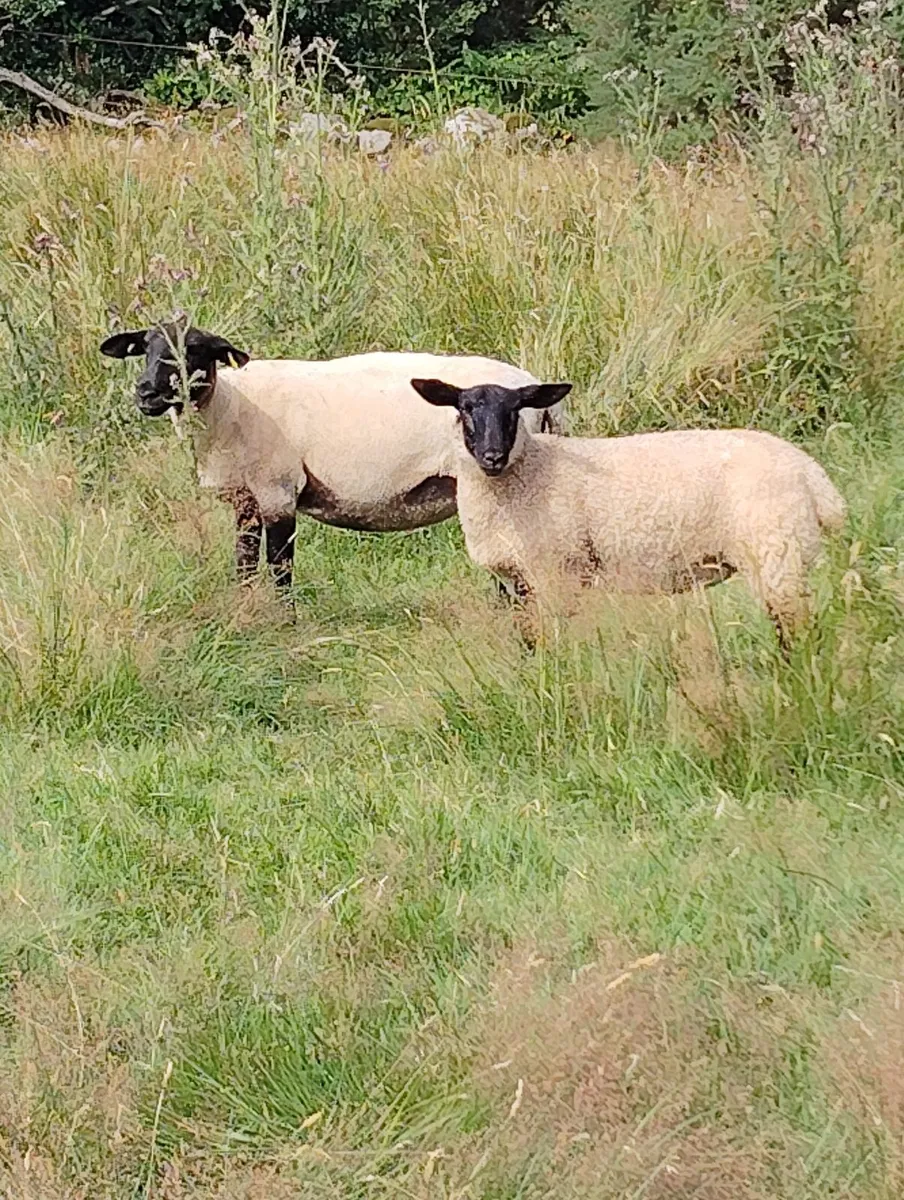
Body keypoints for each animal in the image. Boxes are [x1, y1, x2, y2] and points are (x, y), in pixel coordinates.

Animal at [99, 320, 564, 593]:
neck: (231, 407)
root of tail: (538, 390)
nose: (146, 392)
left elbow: (280, 567)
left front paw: (283, 624)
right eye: (144, 347)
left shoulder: (278, 489)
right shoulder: (245, 498)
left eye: (195, 349)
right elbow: (244, 562)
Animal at [408, 376, 847, 651]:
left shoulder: (555, 573)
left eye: (515, 409)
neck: (528, 472)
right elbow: (530, 643)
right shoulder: (520, 582)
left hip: (777, 553)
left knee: (798, 632)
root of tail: (814, 476)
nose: (492, 456)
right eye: (465, 408)